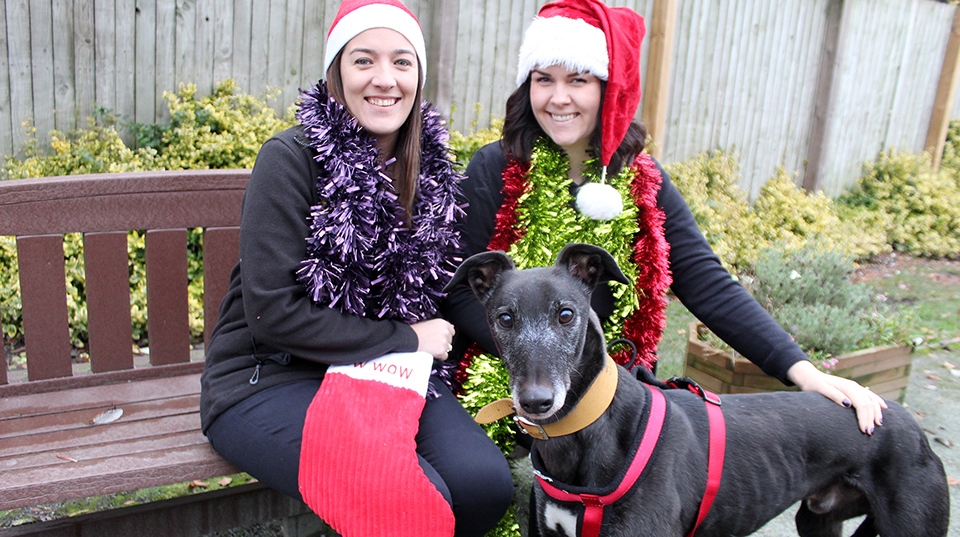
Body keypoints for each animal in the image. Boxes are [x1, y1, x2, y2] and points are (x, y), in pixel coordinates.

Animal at [446, 244, 948, 536]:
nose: (537, 401)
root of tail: (904, 417)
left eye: (566, 314)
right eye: (504, 318)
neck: (588, 429)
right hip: (818, 521)